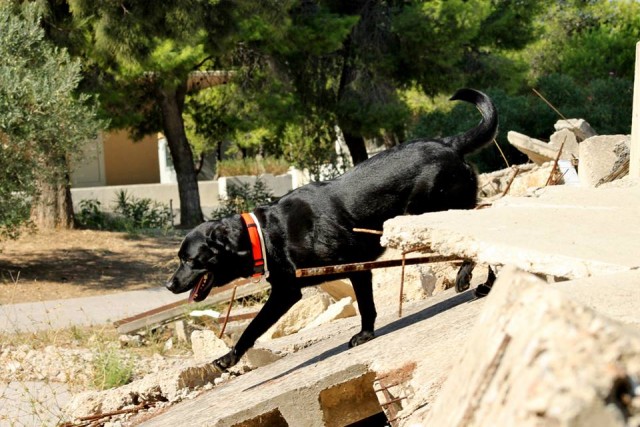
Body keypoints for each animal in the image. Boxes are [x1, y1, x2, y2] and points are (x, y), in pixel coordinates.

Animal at [168, 88, 498, 372]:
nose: (170, 285)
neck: (265, 234)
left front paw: (229, 357)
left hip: (430, 213)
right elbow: (365, 305)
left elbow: (253, 326)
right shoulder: (322, 279)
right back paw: (485, 285)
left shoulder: (303, 286)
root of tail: (448, 143)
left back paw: (469, 277)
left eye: (190, 260)